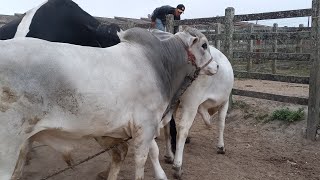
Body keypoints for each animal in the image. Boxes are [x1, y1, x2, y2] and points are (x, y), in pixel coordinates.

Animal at [0, 27, 218, 180]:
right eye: (204, 45)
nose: (216, 66)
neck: (162, 63)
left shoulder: (115, 131)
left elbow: (123, 154)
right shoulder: (146, 126)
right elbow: (141, 160)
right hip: (8, 145)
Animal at [162, 45, 232, 179]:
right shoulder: (224, 102)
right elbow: (221, 124)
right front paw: (221, 147)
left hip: (172, 102)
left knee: (167, 126)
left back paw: (169, 156)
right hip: (191, 102)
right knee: (182, 129)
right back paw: (177, 166)